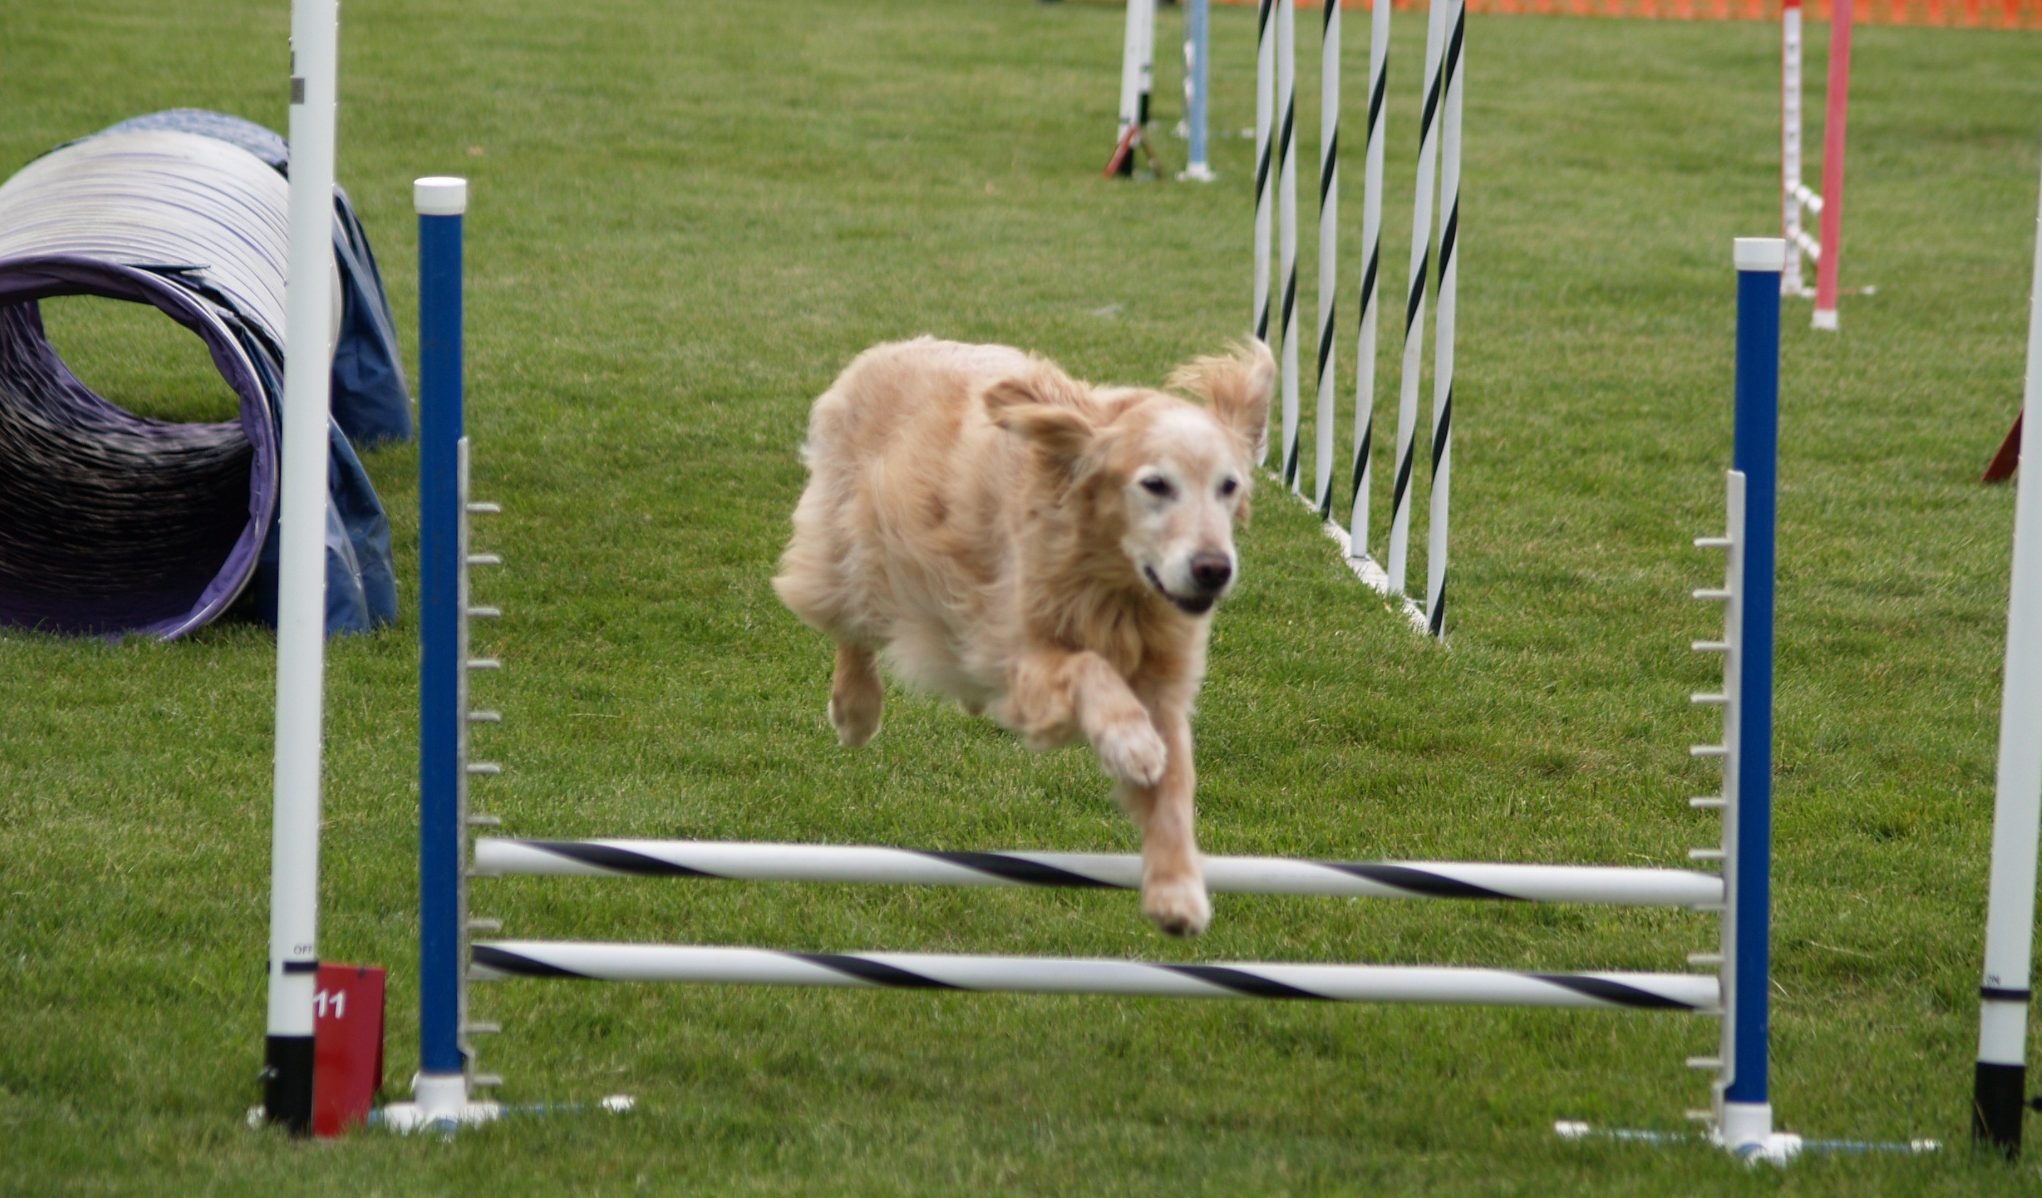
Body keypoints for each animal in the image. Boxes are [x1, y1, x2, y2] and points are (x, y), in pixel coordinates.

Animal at [771, 336, 1266, 938]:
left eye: (1228, 486)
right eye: (1155, 484)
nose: (1214, 570)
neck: (1113, 585)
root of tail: (885, 349)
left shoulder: (1164, 681)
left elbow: (1174, 787)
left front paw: (1178, 890)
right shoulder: (1017, 657)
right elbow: (1088, 668)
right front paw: (1130, 741)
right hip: (853, 550)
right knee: (851, 623)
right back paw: (855, 710)